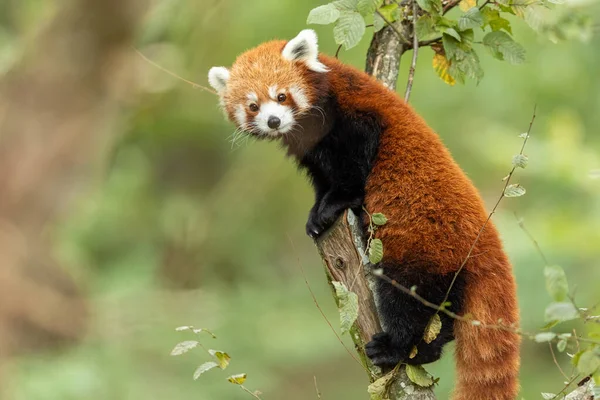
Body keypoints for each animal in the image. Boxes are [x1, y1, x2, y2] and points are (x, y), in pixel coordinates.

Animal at [210, 28, 520, 400]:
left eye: (281, 96)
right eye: (253, 105)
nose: (273, 121)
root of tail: (486, 243)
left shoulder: (354, 122)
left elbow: (354, 169)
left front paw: (333, 207)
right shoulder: (313, 155)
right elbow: (323, 180)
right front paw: (316, 212)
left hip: (423, 249)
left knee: (409, 300)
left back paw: (396, 347)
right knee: (442, 319)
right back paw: (426, 350)